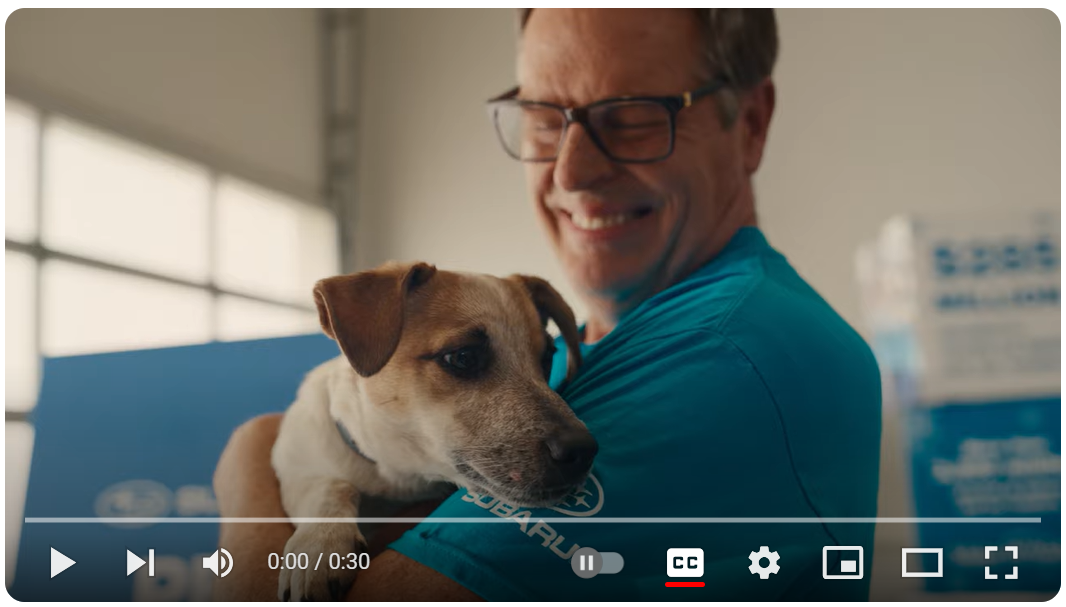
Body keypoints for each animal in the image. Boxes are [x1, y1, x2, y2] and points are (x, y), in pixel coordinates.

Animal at [270, 260, 596, 601]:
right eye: (463, 357)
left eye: (547, 358)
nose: (584, 450)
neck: (398, 478)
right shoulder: (293, 466)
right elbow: (332, 486)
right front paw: (319, 544)